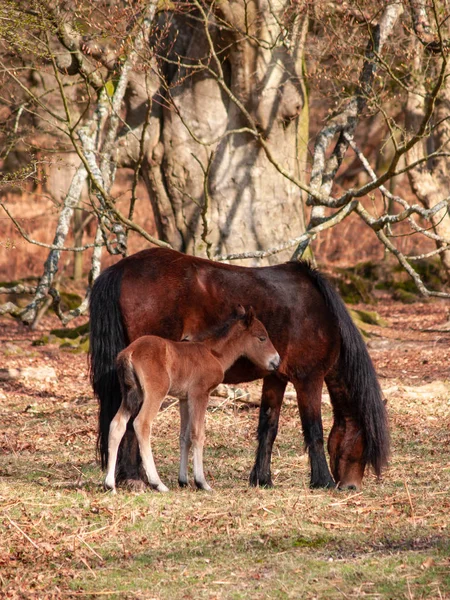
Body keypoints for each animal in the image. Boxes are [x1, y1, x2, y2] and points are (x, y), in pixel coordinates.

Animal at [105, 308, 282, 494]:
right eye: (262, 338)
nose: (276, 361)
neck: (213, 353)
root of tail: (129, 352)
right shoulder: (200, 394)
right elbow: (198, 434)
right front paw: (201, 482)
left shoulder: (184, 398)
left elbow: (184, 436)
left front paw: (183, 480)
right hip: (155, 393)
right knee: (141, 424)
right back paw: (157, 483)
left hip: (131, 394)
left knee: (117, 424)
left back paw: (110, 484)